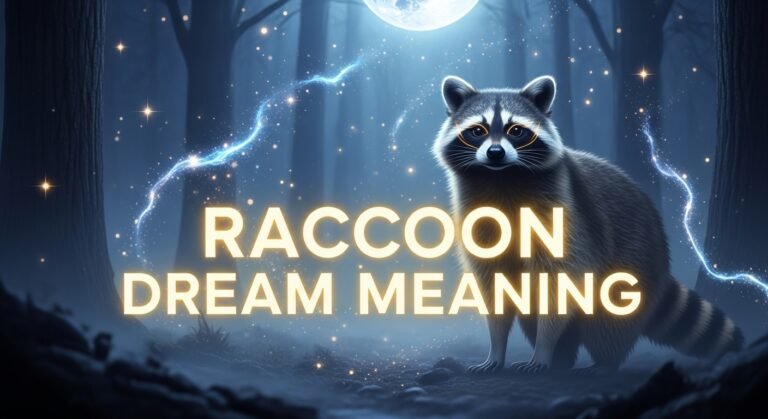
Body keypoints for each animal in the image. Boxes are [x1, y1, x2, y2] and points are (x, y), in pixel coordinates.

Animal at [433, 75, 743, 373]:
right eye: (477, 131)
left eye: (516, 130)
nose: (495, 153)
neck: (502, 177)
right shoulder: (479, 220)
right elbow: (493, 286)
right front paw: (497, 349)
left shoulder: (567, 218)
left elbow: (560, 282)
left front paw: (544, 348)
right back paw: (563, 358)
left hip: (632, 256)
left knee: (612, 314)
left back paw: (603, 361)